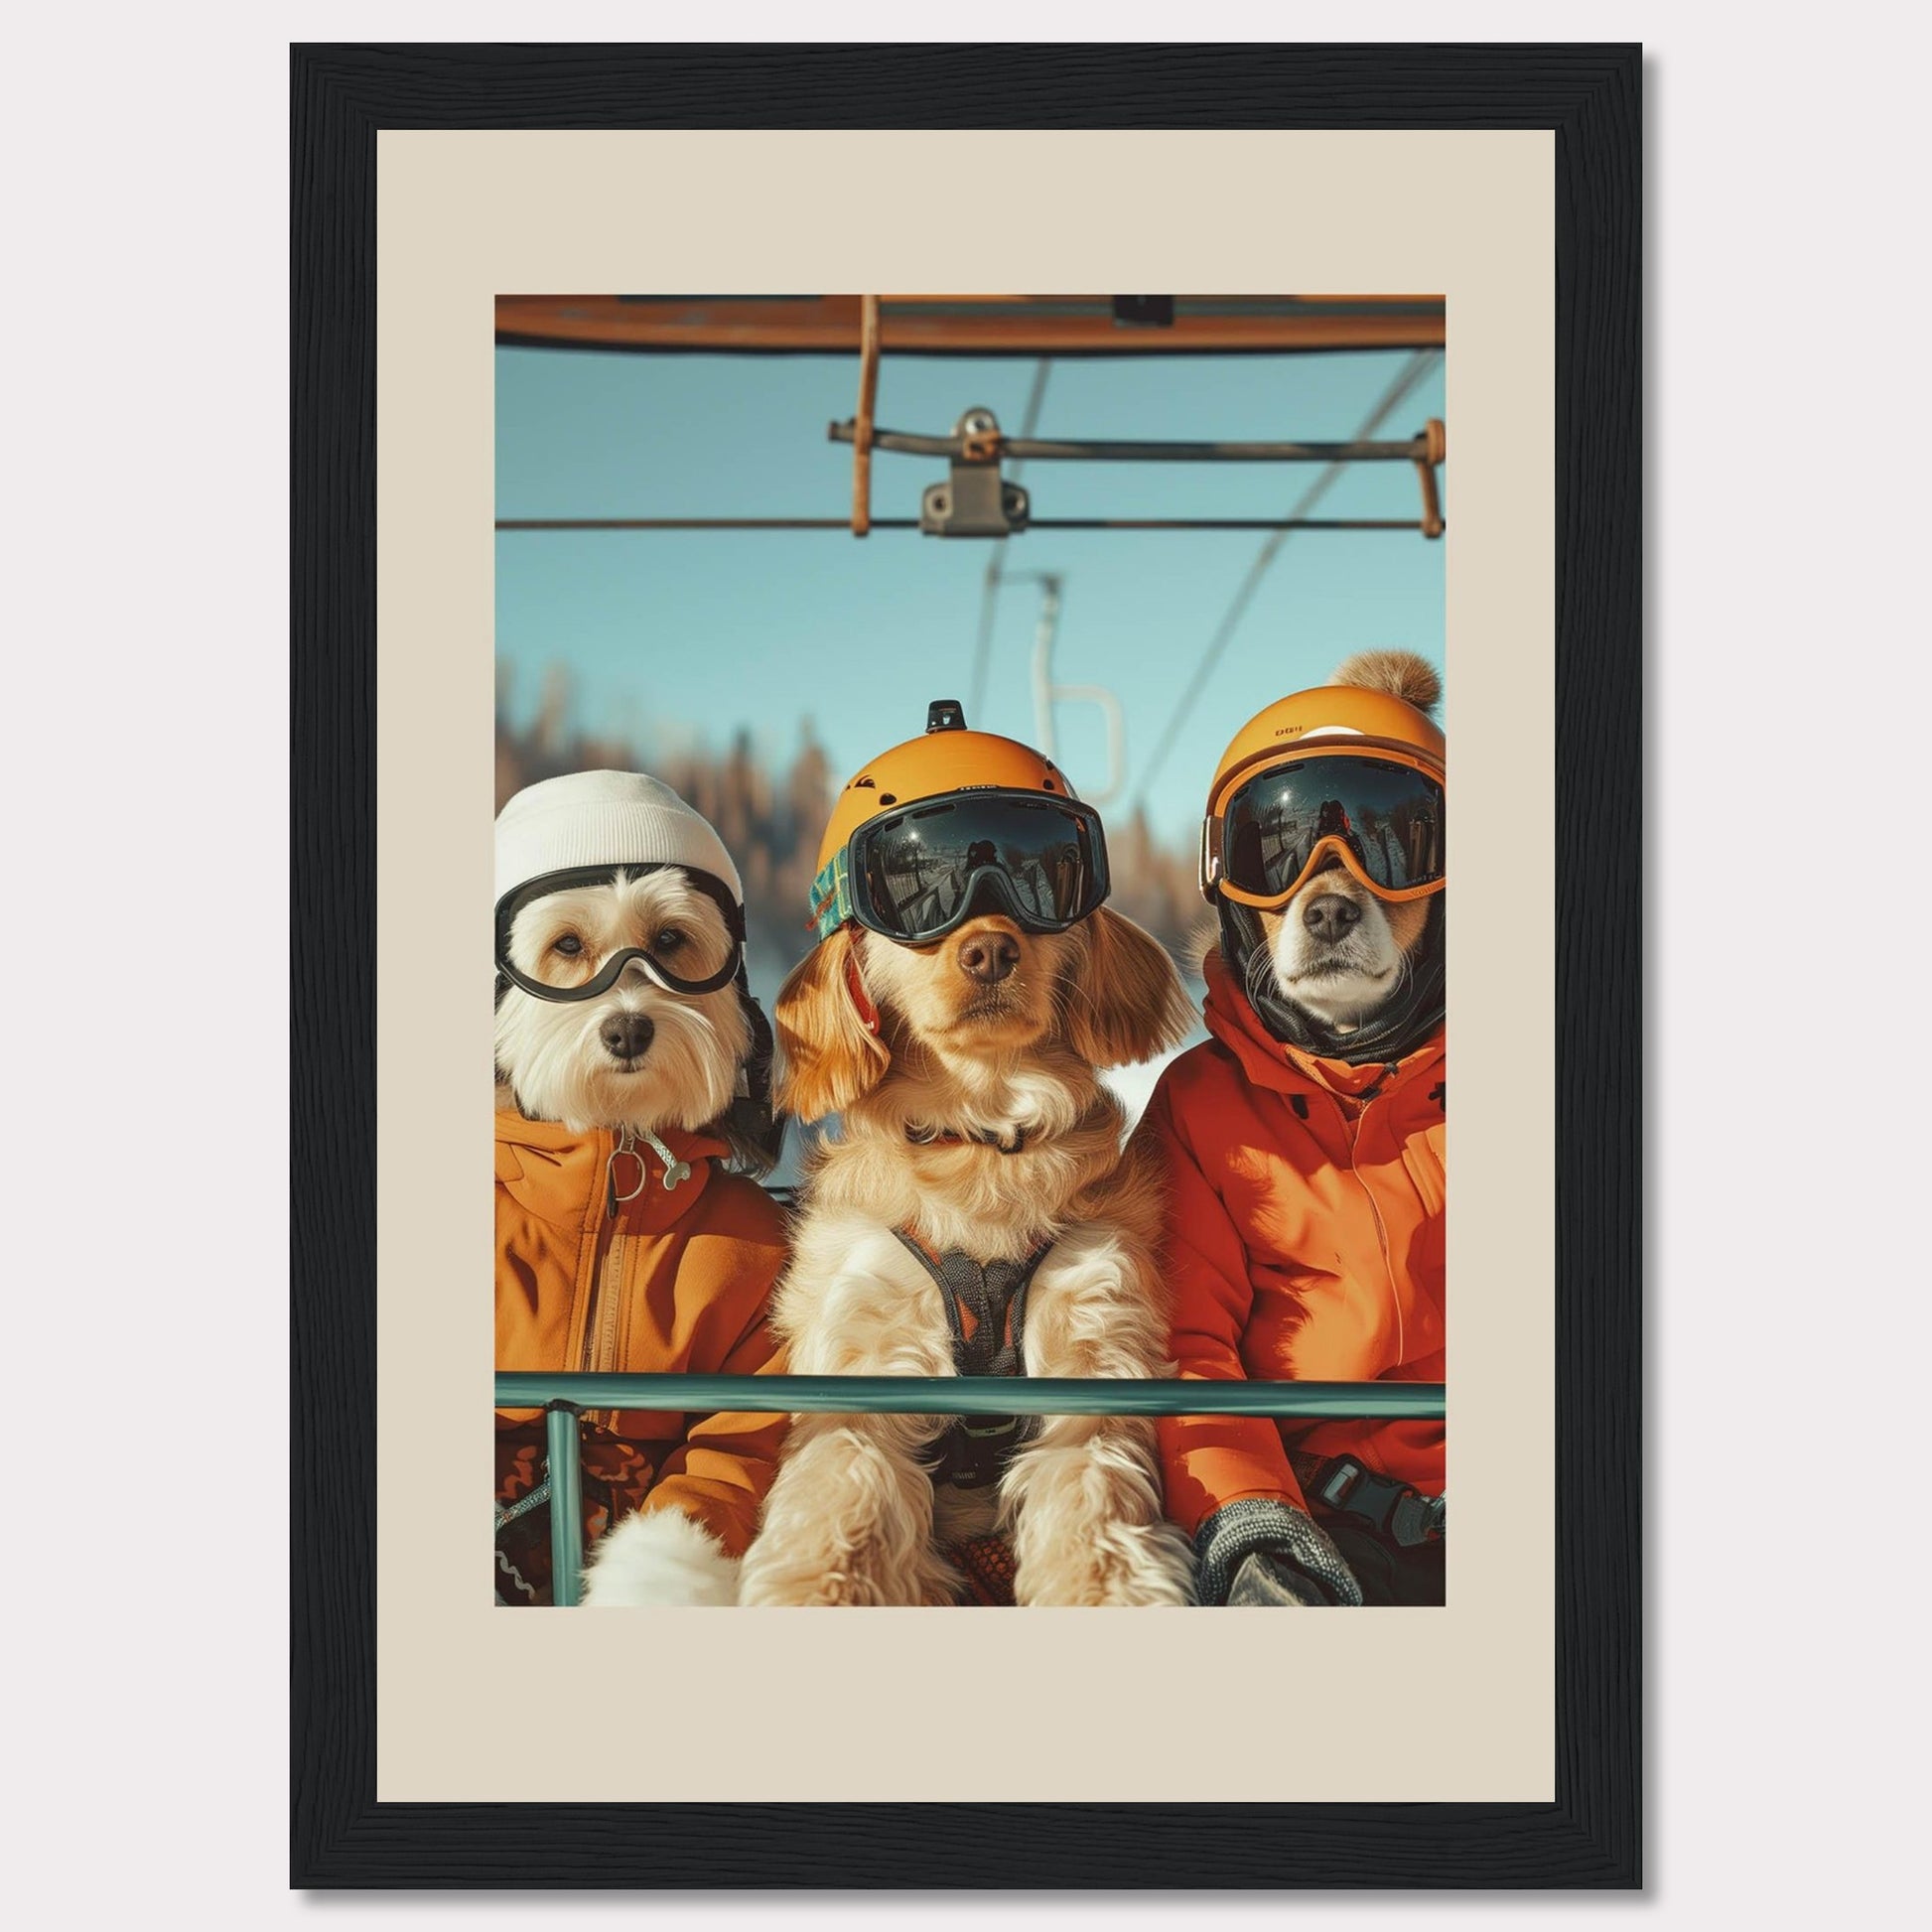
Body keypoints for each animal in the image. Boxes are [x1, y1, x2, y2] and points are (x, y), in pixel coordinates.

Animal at [734, 907, 1197, 1614]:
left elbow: (1092, 1493)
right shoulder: (866, 1346)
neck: (981, 1136)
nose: (990, 952)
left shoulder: (1093, 1333)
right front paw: (819, 1592)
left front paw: (1105, 1592)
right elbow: (843, 1482)